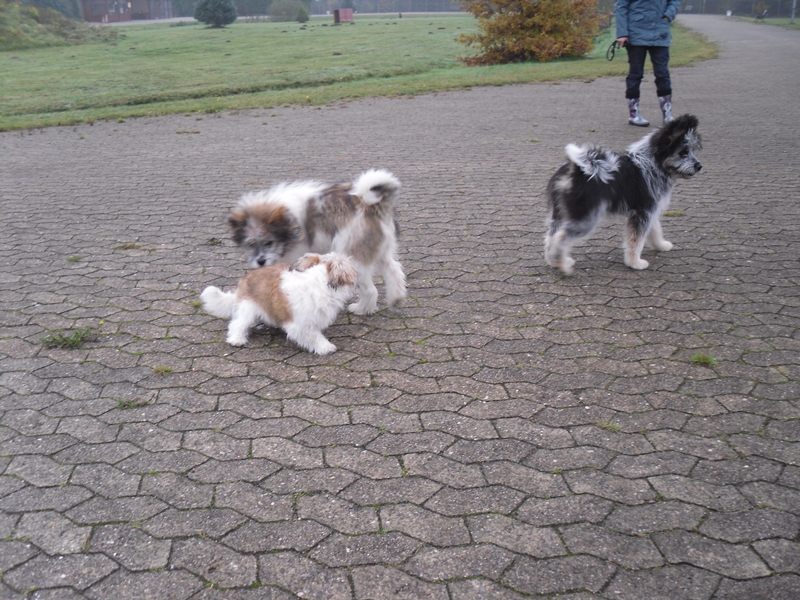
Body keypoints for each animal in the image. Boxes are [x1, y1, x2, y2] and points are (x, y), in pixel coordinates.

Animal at [202, 251, 358, 354]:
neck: (318, 280)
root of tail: (245, 278)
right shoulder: (300, 325)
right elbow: (314, 336)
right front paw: (326, 347)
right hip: (248, 308)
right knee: (237, 324)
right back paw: (236, 339)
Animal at [228, 169, 406, 316]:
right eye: (251, 244)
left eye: (268, 243)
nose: (260, 261)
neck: (288, 220)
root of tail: (372, 206)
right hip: (379, 249)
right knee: (394, 269)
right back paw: (396, 298)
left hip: (353, 253)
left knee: (371, 289)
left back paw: (362, 309)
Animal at [544, 114, 700, 274]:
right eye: (683, 152)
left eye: (692, 150)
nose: (699, 166)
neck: (653, 163)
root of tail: (576, 169)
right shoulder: (643, 211)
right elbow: (636, 240)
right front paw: (635, 262)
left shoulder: (649, 211)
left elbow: (655, 229)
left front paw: (660, 245)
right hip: (586, 216)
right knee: (561, 237)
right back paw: (562, 264)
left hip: (561, 212)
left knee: (552, 236)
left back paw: (554, 261)